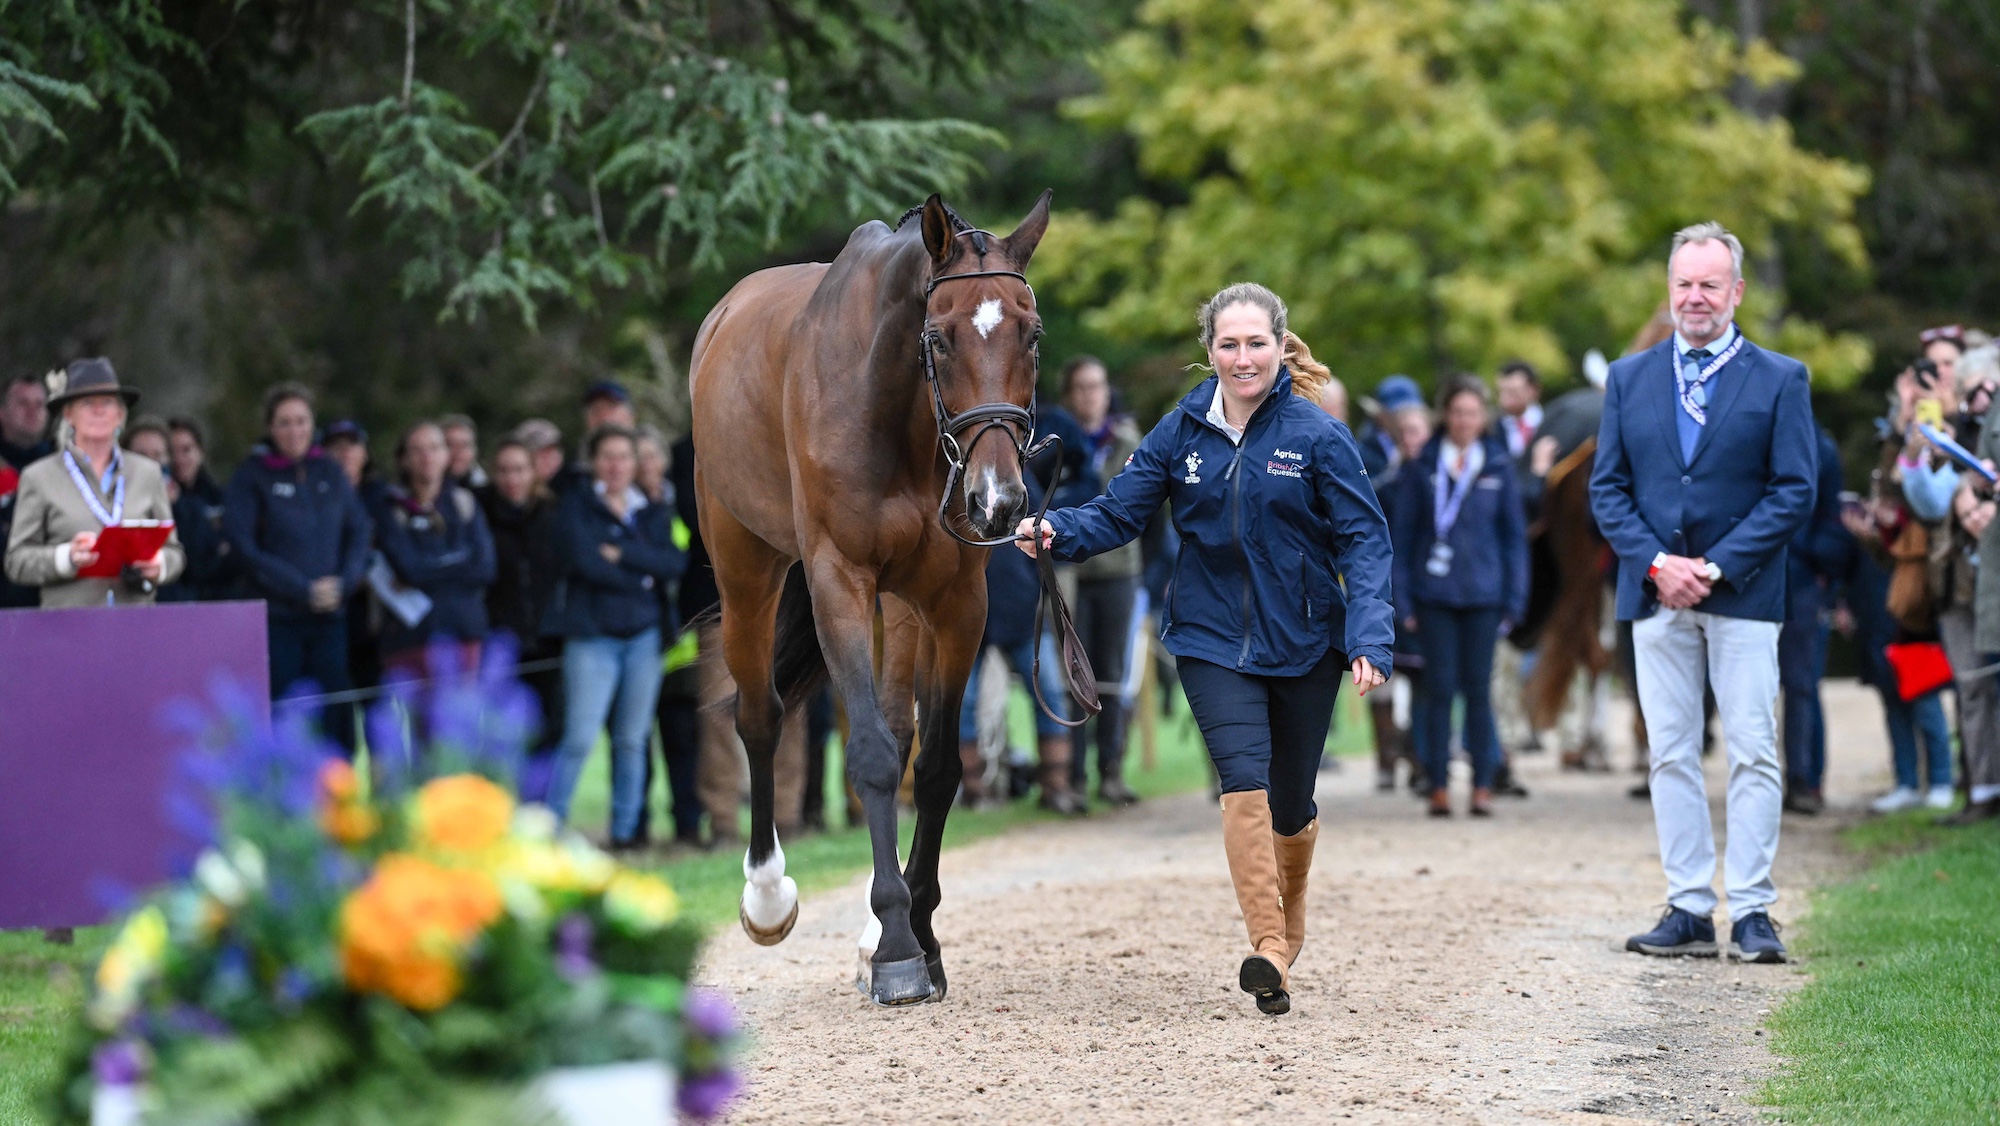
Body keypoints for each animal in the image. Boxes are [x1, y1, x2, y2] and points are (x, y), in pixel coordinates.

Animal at [689, 192, 1053, 1006]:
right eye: (939, 338)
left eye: (1032, 333)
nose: (999, 499)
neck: (895, 411)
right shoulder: (840, 584)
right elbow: (874, 758)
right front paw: (894, 946)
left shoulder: (955, 601)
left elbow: (937, 765)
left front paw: (918, 930)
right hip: (745, 568)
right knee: (760, 716)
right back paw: (767, 895)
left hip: (905, 609)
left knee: (895, 718)